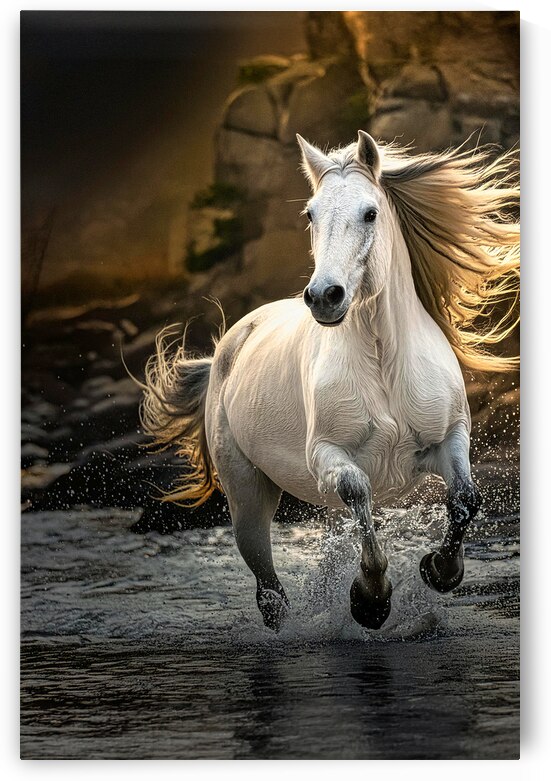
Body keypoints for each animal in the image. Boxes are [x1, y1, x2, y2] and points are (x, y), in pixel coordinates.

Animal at [141, 130, 519, 631]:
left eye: (370, 212)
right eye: (311, 214)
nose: (324, 296)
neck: (383, 364)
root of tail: (230, 344)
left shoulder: (449, 437)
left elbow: (465, 498)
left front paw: (440, 570)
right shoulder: (327, 454)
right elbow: (358, 491)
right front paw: (371, 601)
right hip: (246, 496)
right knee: (269, 589)